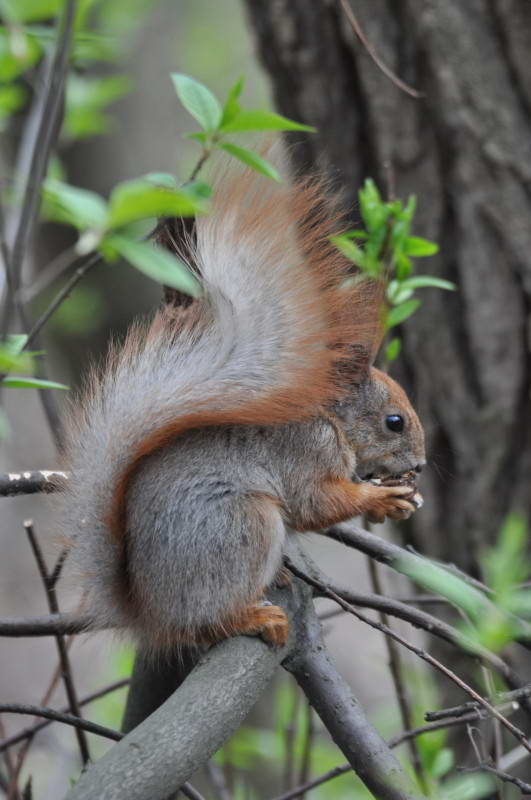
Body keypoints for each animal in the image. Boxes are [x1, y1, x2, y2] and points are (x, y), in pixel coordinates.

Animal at [61, 148, 428, 648]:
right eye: (395, 422)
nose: (421, 466)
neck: (329, 417)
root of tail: (148, 612)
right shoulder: (304, 452)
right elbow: (316, 503)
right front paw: (380, 498)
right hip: (241, 525)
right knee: (207, 619)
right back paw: (251, 616)